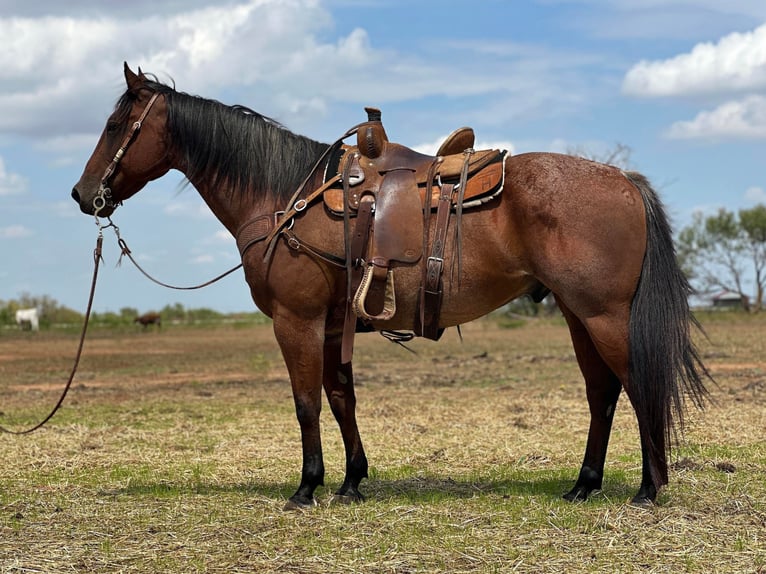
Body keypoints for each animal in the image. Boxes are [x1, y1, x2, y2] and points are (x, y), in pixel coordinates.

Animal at [73, 63, 712, 510]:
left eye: (114, 125)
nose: (82, 195)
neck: (283, 198)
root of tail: (622, 179)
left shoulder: (297, 321)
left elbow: (306, 403)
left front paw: (307, 488)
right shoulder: (333, 324)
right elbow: (340, 398)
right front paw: (351, 482)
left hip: (604, 315)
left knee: (637, 386)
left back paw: (648, 489)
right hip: (579, 316)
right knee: (603, 394)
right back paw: (584, 485)